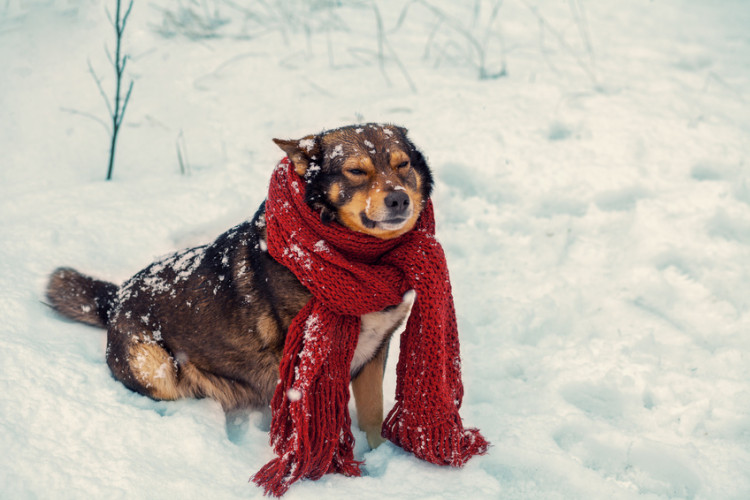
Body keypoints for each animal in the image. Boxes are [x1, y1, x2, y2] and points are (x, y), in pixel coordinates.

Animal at [45, 122, 434, 450]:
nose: (399, 199)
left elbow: (372, 417)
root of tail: (118, 296)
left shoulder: (375, 351)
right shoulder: (301, 361)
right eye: (356, 171)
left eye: (403, 165)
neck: (360, 262)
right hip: (156, 366)